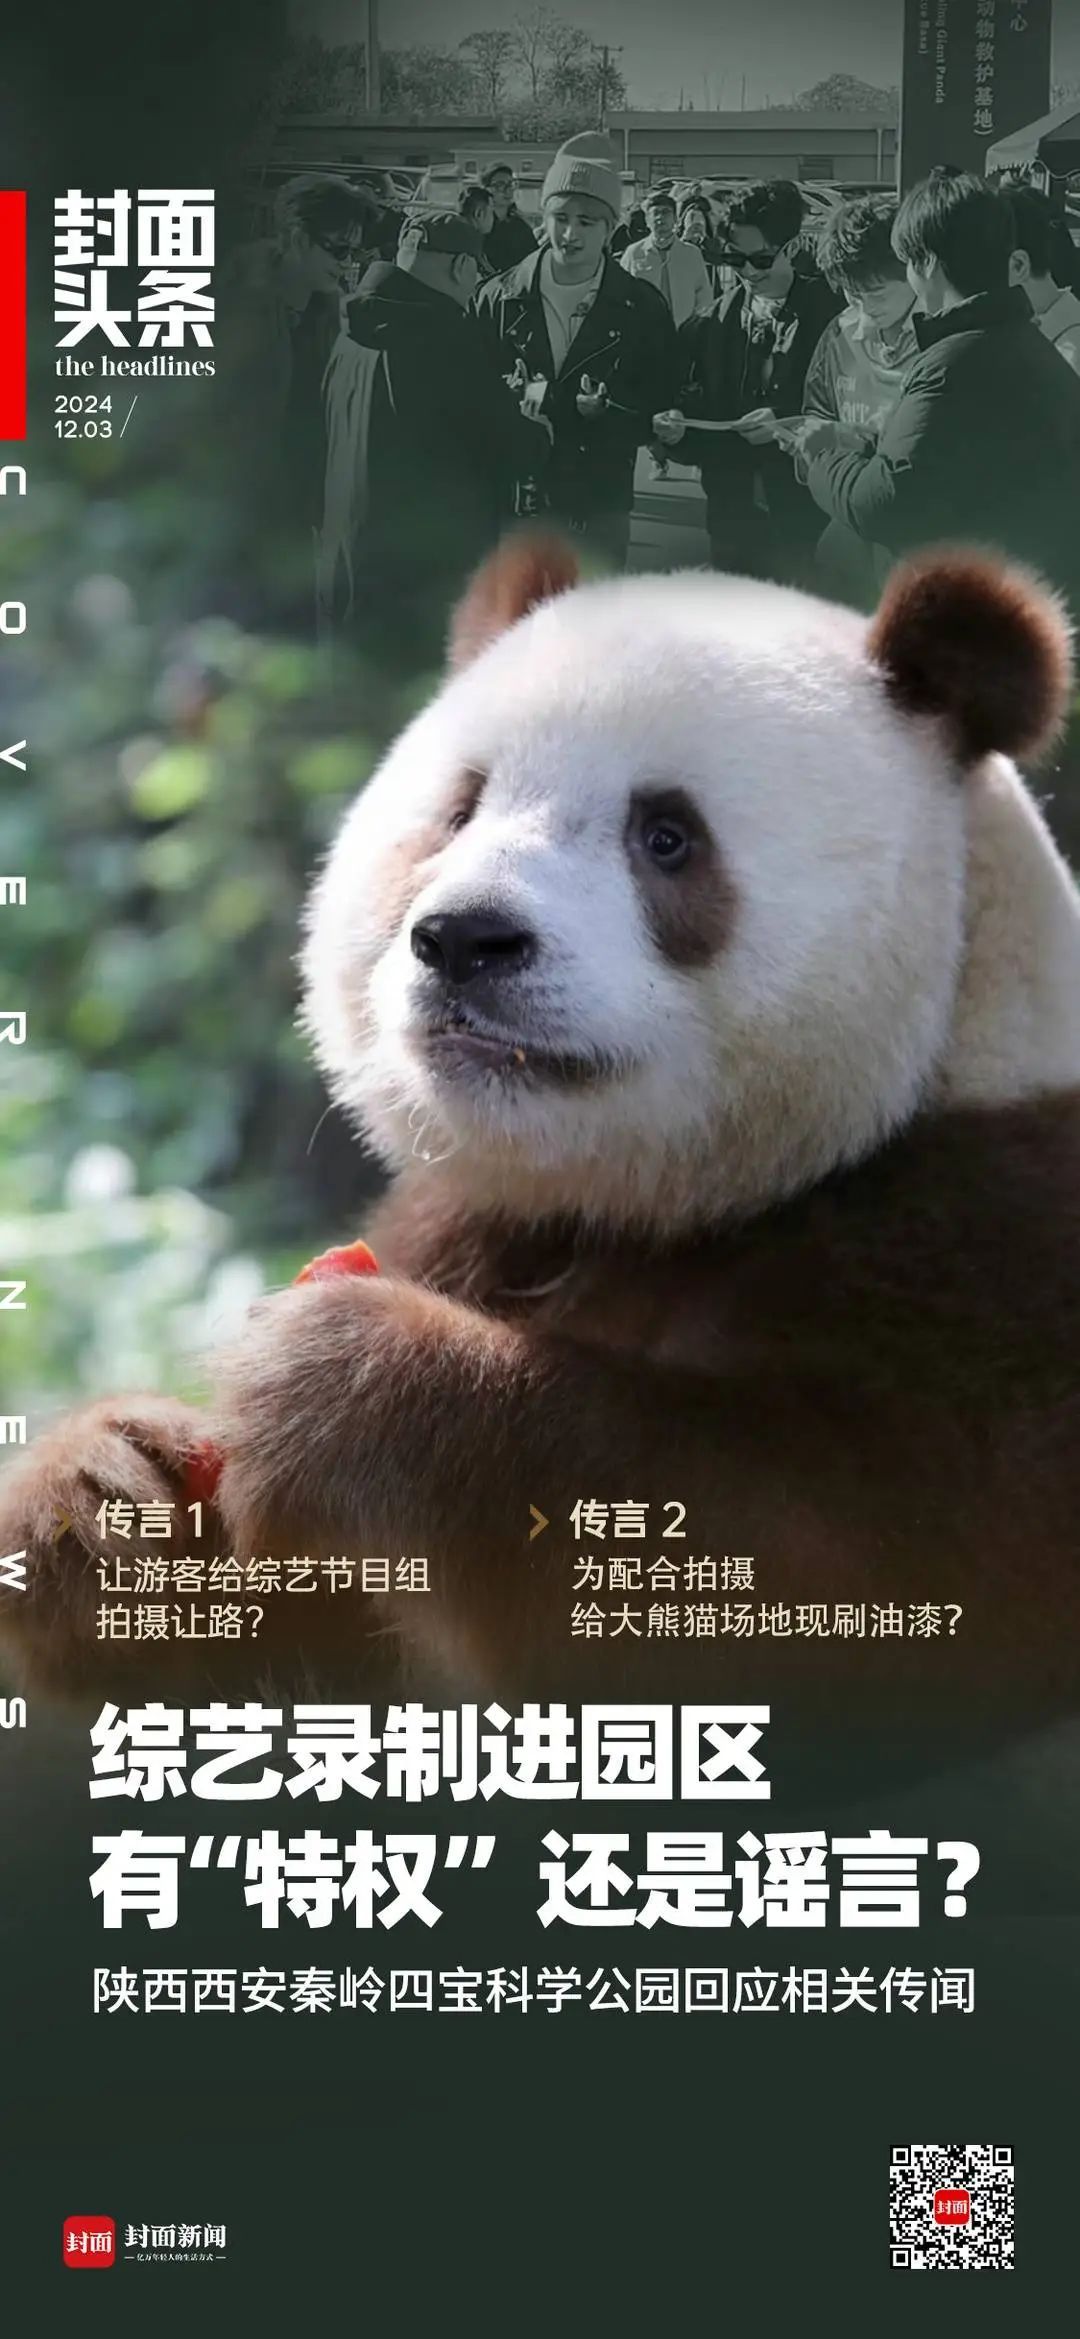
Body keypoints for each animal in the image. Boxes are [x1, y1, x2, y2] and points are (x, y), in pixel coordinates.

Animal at [2, 532, 1079, 1751]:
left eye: (666, 835)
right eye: (462, 808)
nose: (466, 939)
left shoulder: (991, 1237)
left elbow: (855, 1570)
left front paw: (342, 1375)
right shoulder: (472, 1223)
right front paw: (102, 1494)